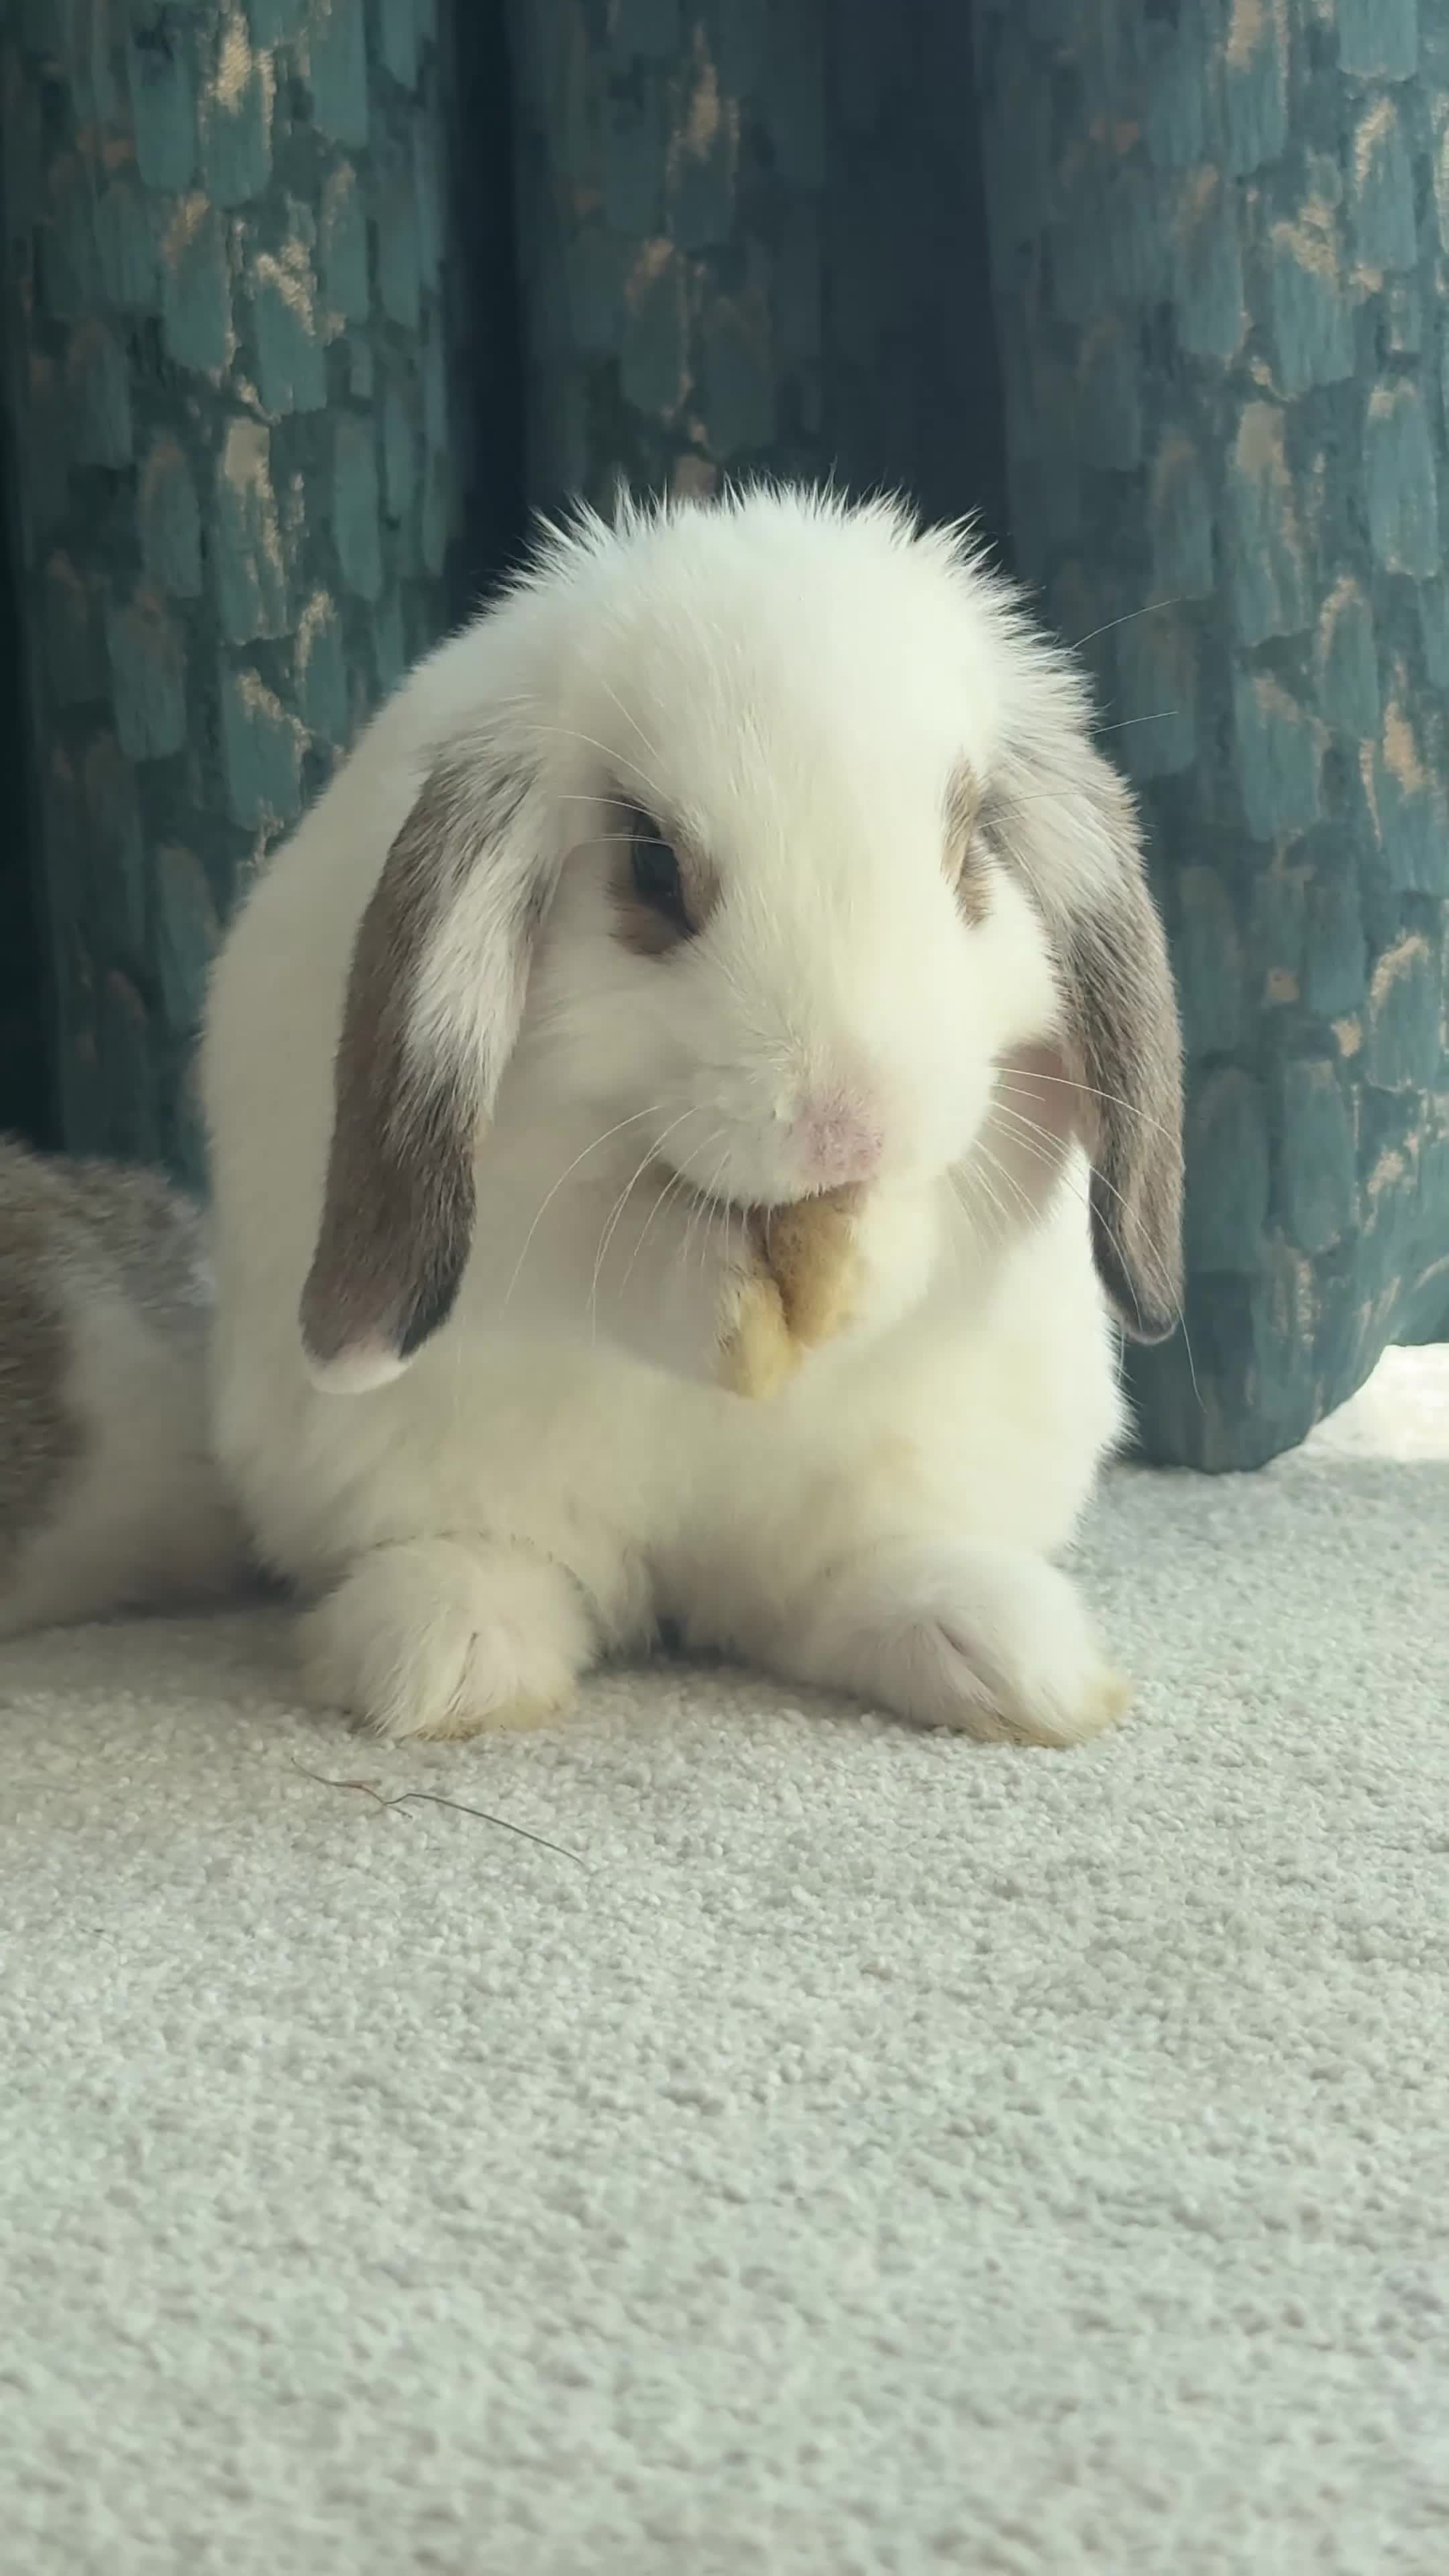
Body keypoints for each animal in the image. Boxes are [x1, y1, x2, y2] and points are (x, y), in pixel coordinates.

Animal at [200, 485, 1183, 1748]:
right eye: (652, 868)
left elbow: (929, 1226)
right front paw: (729, 1310)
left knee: (834, 1591)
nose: (851, 1125)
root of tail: (691, 1580)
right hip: (411, 1475)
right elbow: (604, 1249)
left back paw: (1000, 1657)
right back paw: (453, 1653)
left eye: (971, 855)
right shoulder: (527, 1203)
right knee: (513, 1562)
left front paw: (857, 1268)